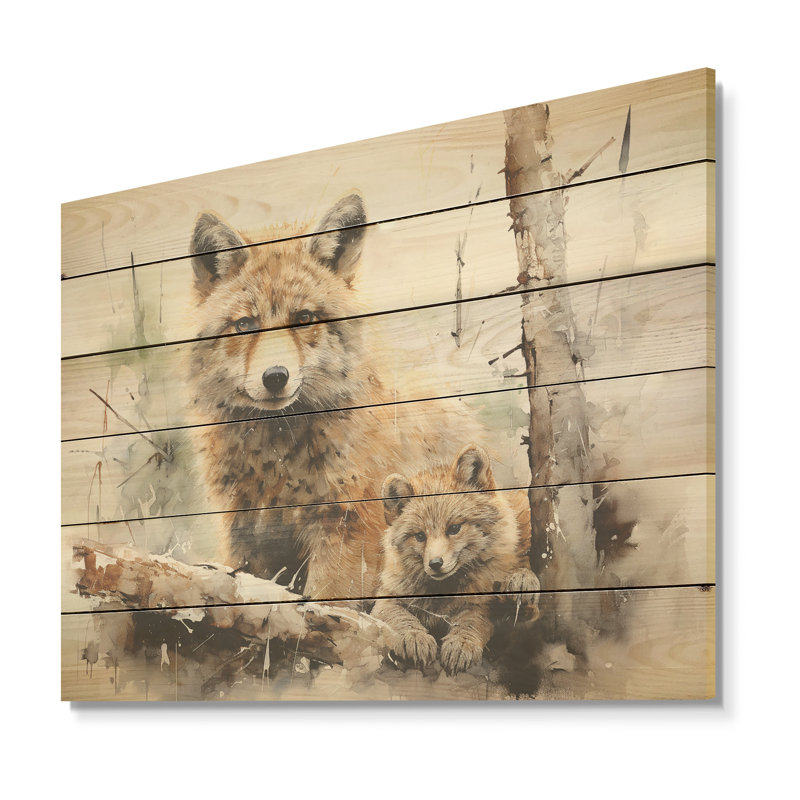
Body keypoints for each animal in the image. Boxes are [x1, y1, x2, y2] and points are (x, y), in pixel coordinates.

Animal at [187, 194, 479, 600]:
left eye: (304, 318)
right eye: (245, 325)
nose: (275, 377)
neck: (279, 462)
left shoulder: (345, 530)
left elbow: (329, 605)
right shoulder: (245, 533)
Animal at [371, 444, 540, 675]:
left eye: (454, 528)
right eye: (420, 536)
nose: (435, 564)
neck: (442, 593)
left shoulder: (480, 603)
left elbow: (470, 623)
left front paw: (460, 645)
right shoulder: (386, 597)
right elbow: (399, 618)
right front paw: (415, 638)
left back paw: (521, 582)